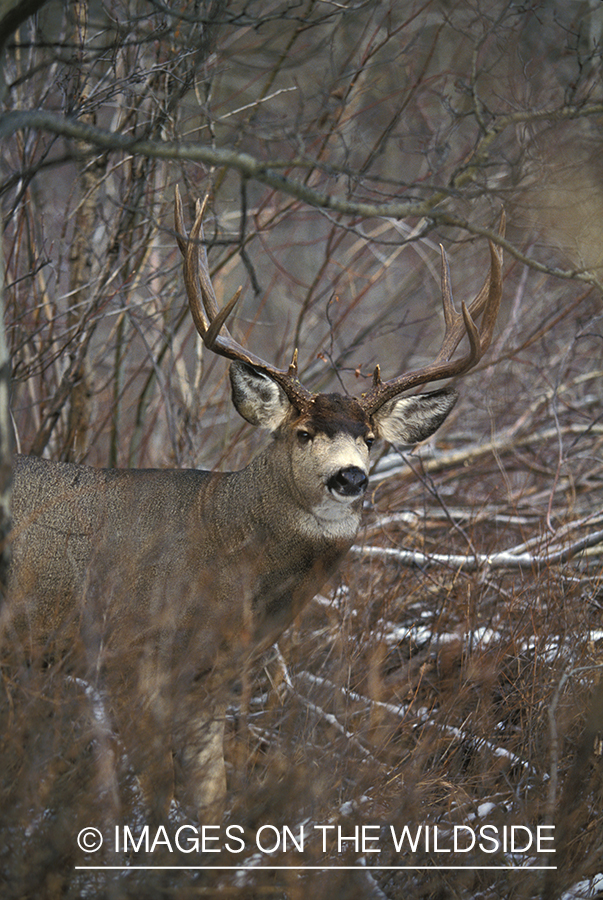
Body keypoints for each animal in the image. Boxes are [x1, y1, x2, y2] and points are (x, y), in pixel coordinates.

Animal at [3, 192, 504, 824]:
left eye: (370, 438)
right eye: (302, 433)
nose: (350, 477)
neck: (219, 548)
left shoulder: (210, 681)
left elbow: (211, 797)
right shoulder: (130, 659)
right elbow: (154, 791)